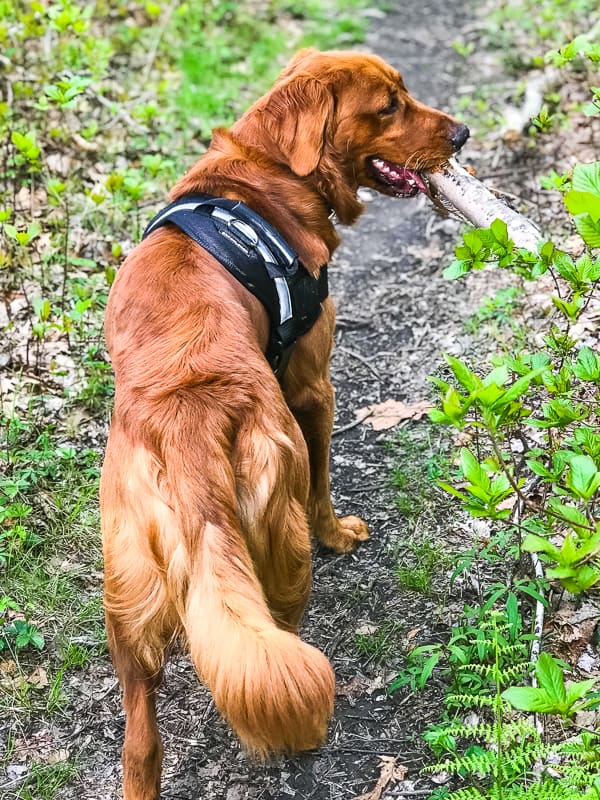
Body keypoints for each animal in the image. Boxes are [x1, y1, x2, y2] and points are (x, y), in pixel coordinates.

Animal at [101, 47, 468, 796]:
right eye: (388, 106)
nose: (463, 134)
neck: (266, 173)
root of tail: (187, 423)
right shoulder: (312, 387)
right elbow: (327, 481)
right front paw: (342, 534)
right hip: (282, 530)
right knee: (280, 639)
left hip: (126, 598)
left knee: (142, 740)